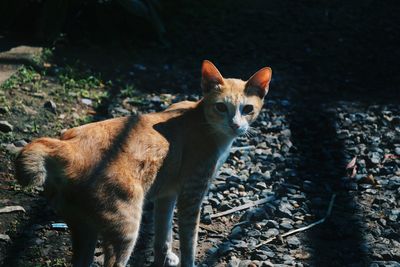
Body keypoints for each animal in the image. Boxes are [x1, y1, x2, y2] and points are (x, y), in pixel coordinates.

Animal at [15, 61, 272, 267]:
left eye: (247, 109)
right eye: (221, 107)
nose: (235, 125)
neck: (202, 120)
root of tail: (64, 145)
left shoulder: (166, 195)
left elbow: (163, 235)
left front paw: (164, 257)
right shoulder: (191, 196)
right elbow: (188, 242)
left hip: (83, 229)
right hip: (126, 226)